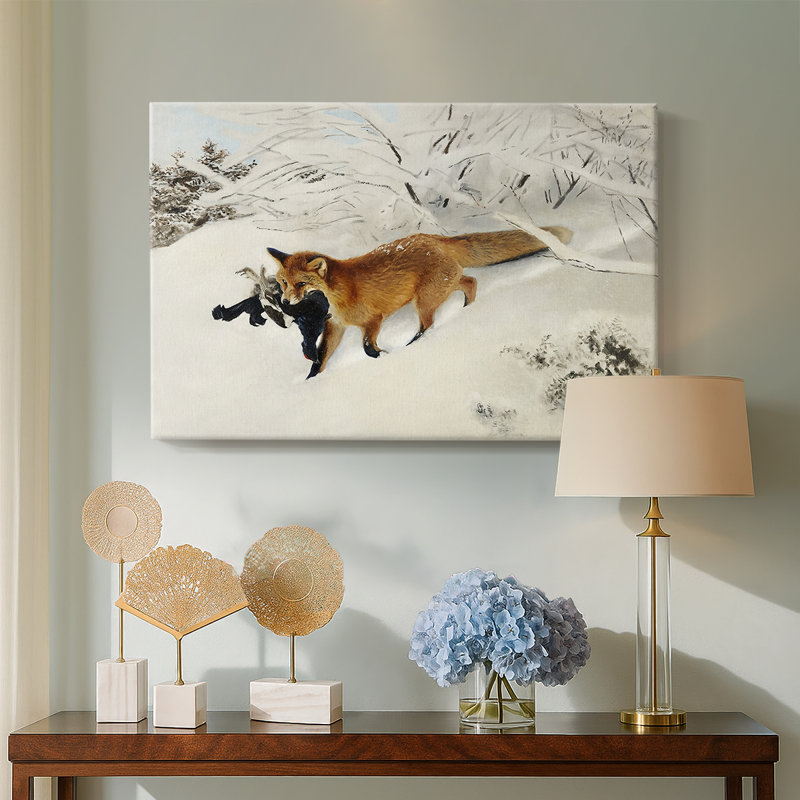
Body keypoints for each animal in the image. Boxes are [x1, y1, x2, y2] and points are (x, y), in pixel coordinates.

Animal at [268, 226, 572, 377]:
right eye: (283, 282)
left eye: (301, 284)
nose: (285, 301)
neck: (339, 293)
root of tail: (434, 238)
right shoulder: (336, 326)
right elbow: (320, 359)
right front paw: (310, 382)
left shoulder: (373, 320)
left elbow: (368, 349)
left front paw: (385, 356)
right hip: (442, 287)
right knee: (471, 281)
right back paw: (467, 310)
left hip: (424, 300)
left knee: (429, 325)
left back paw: (415, 344)